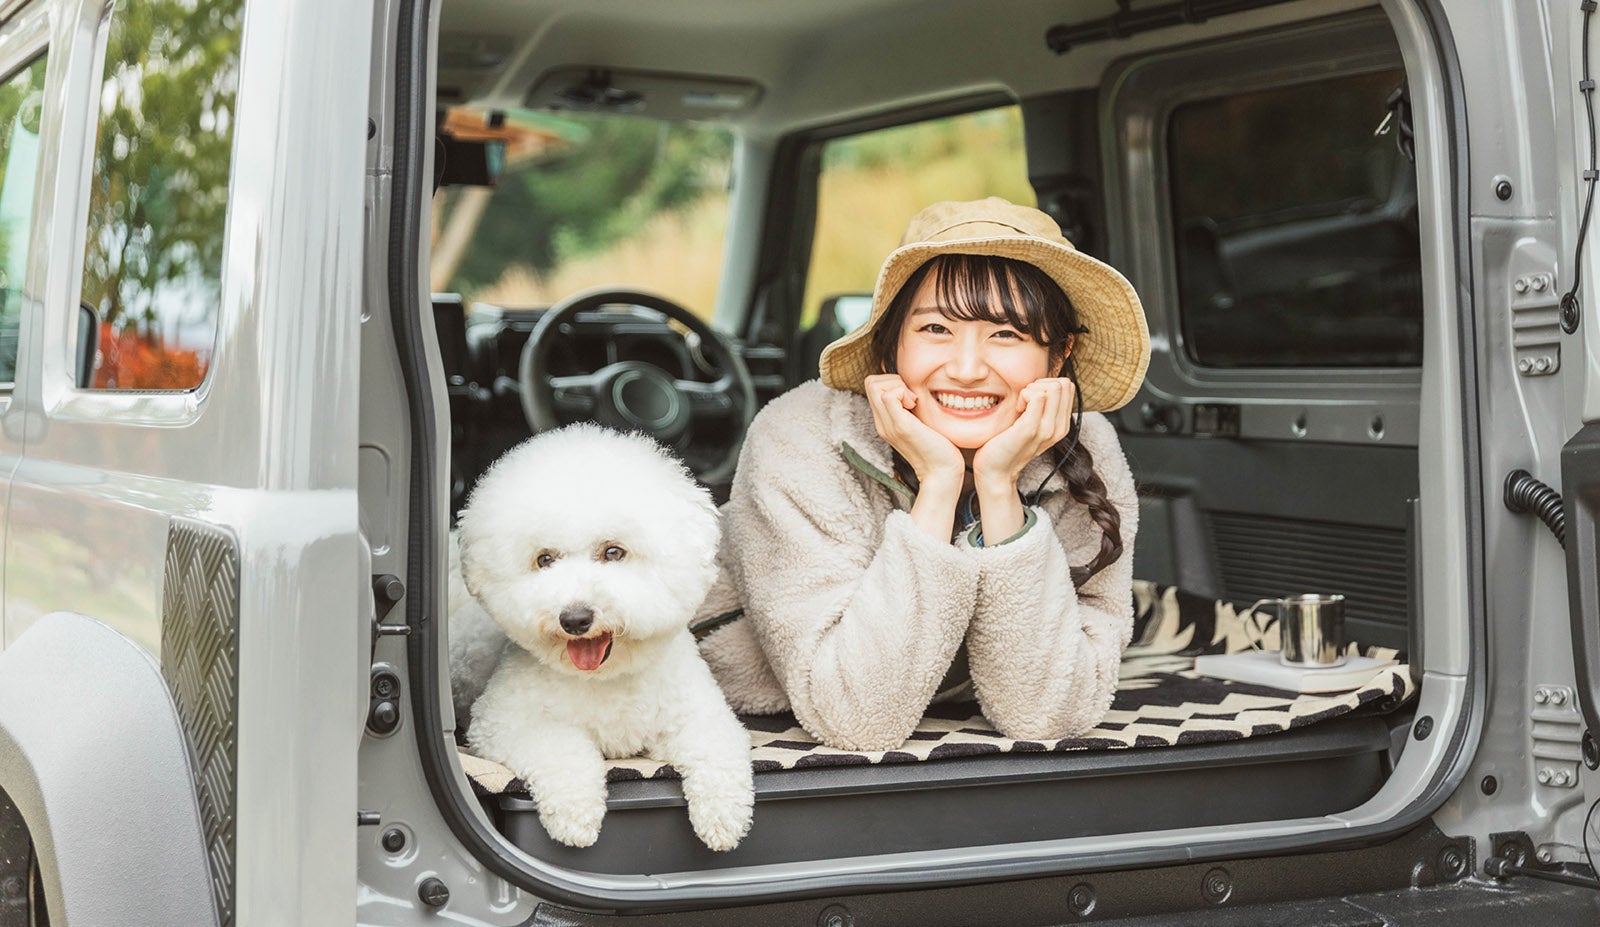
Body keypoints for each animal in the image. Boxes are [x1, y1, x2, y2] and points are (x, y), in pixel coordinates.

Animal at [448, 425, 752, 851]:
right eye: (544, 559)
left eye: (614, 552)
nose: (575, 618)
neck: (607, 678)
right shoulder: (503, 722)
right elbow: (562, 750)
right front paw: (575, 816)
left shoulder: (697, 714)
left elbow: (717, 748)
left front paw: (723, 816)